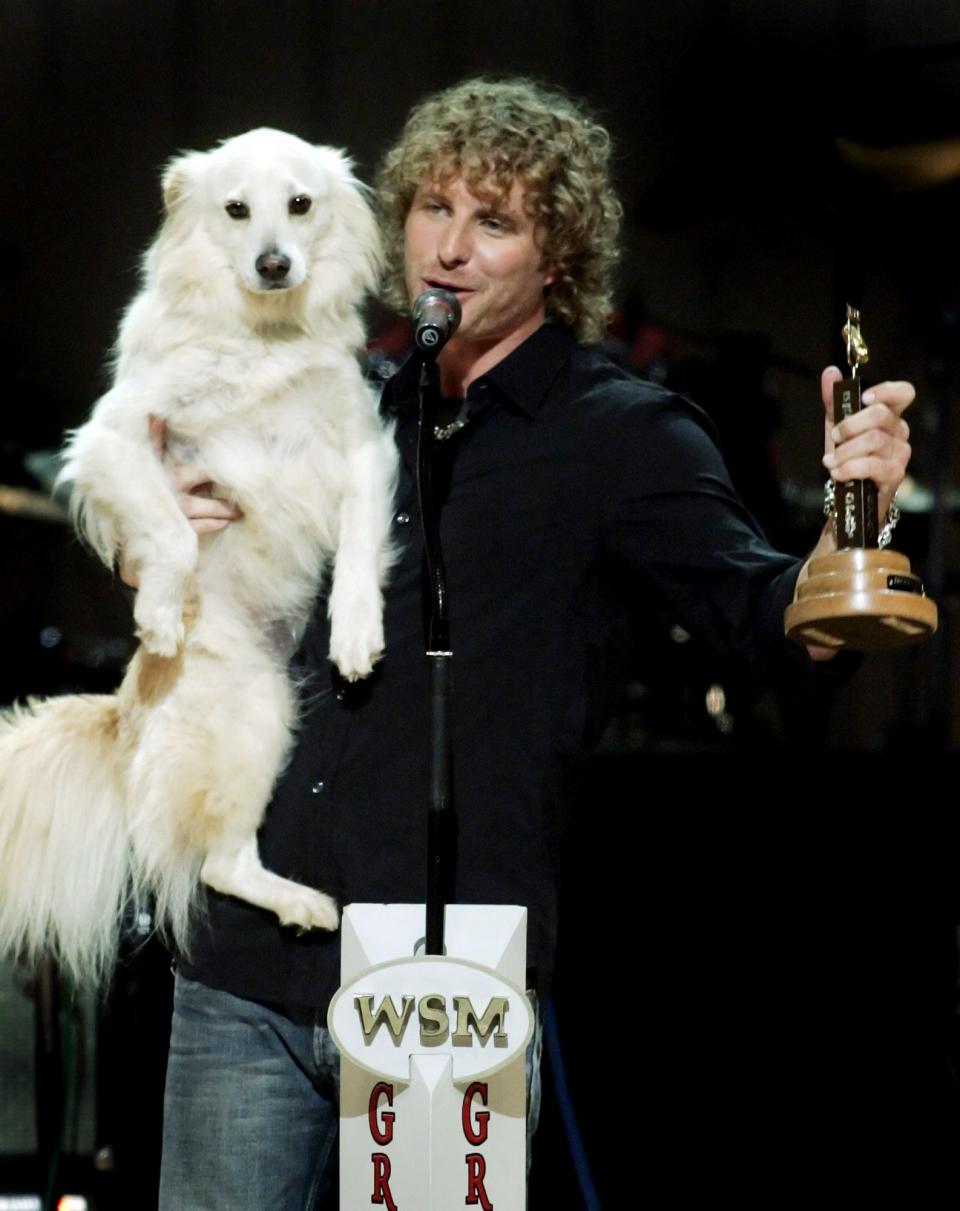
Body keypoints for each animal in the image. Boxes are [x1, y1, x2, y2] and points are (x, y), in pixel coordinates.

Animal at [0, 130, 397, 983]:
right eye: (236, 210)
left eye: (300, 204)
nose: (274, 263)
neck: (263, 338)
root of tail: (124, 719)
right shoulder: (112, 439)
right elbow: (173, 532)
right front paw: (158, 614)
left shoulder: (363, 453)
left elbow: (357, 549)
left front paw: (356, 634)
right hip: (244, 723)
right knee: (215, 864)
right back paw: (303, 904)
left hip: (264, 719)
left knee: (223, 863)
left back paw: (303, 904)